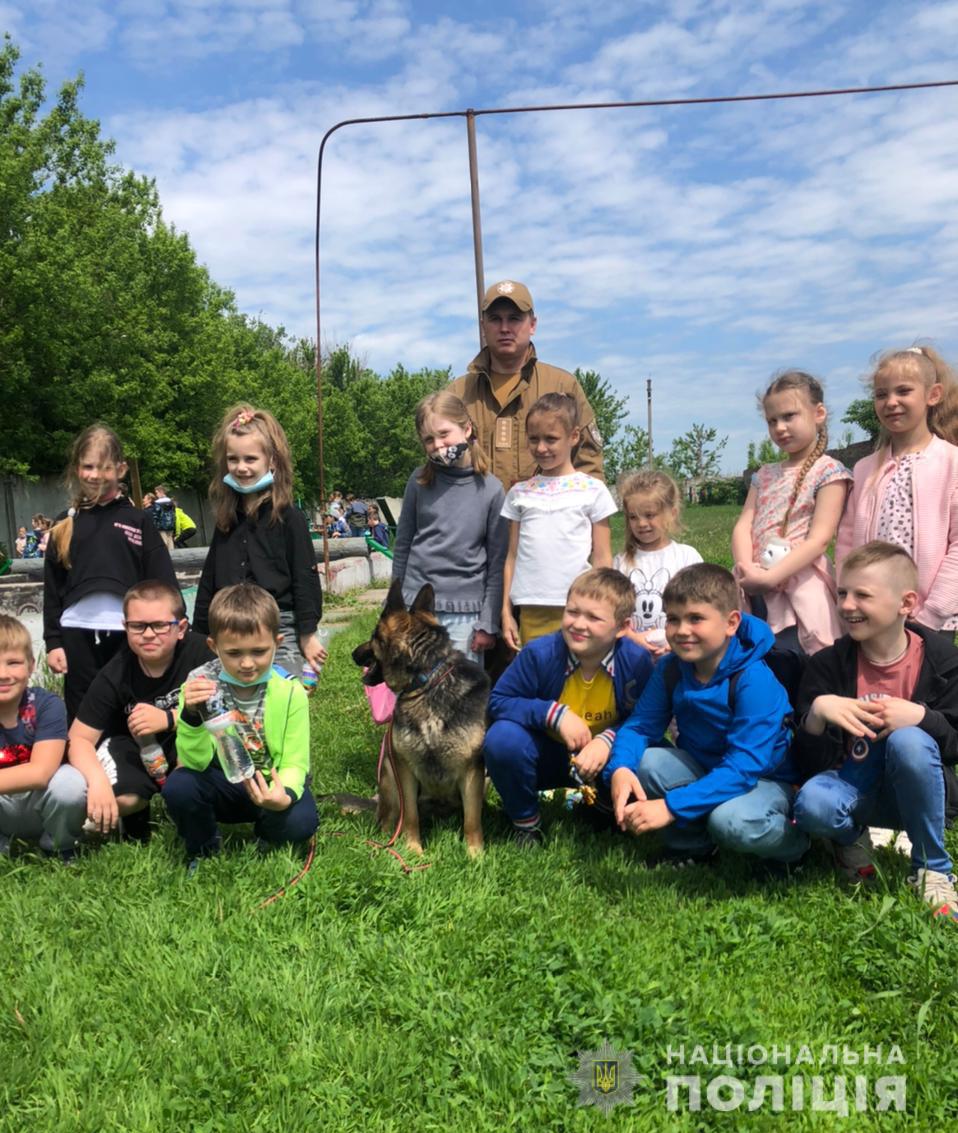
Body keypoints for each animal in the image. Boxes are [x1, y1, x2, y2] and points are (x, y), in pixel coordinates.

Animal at [351, 580, 486, 852]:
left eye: (372, 637)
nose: (353, 654)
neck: (427, 681)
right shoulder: (404, 770)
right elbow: (410, 816)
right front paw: (413, 851)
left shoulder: (473, 772)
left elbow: (472, 821)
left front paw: (476, 855)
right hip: (389, 775)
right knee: (389, 818)